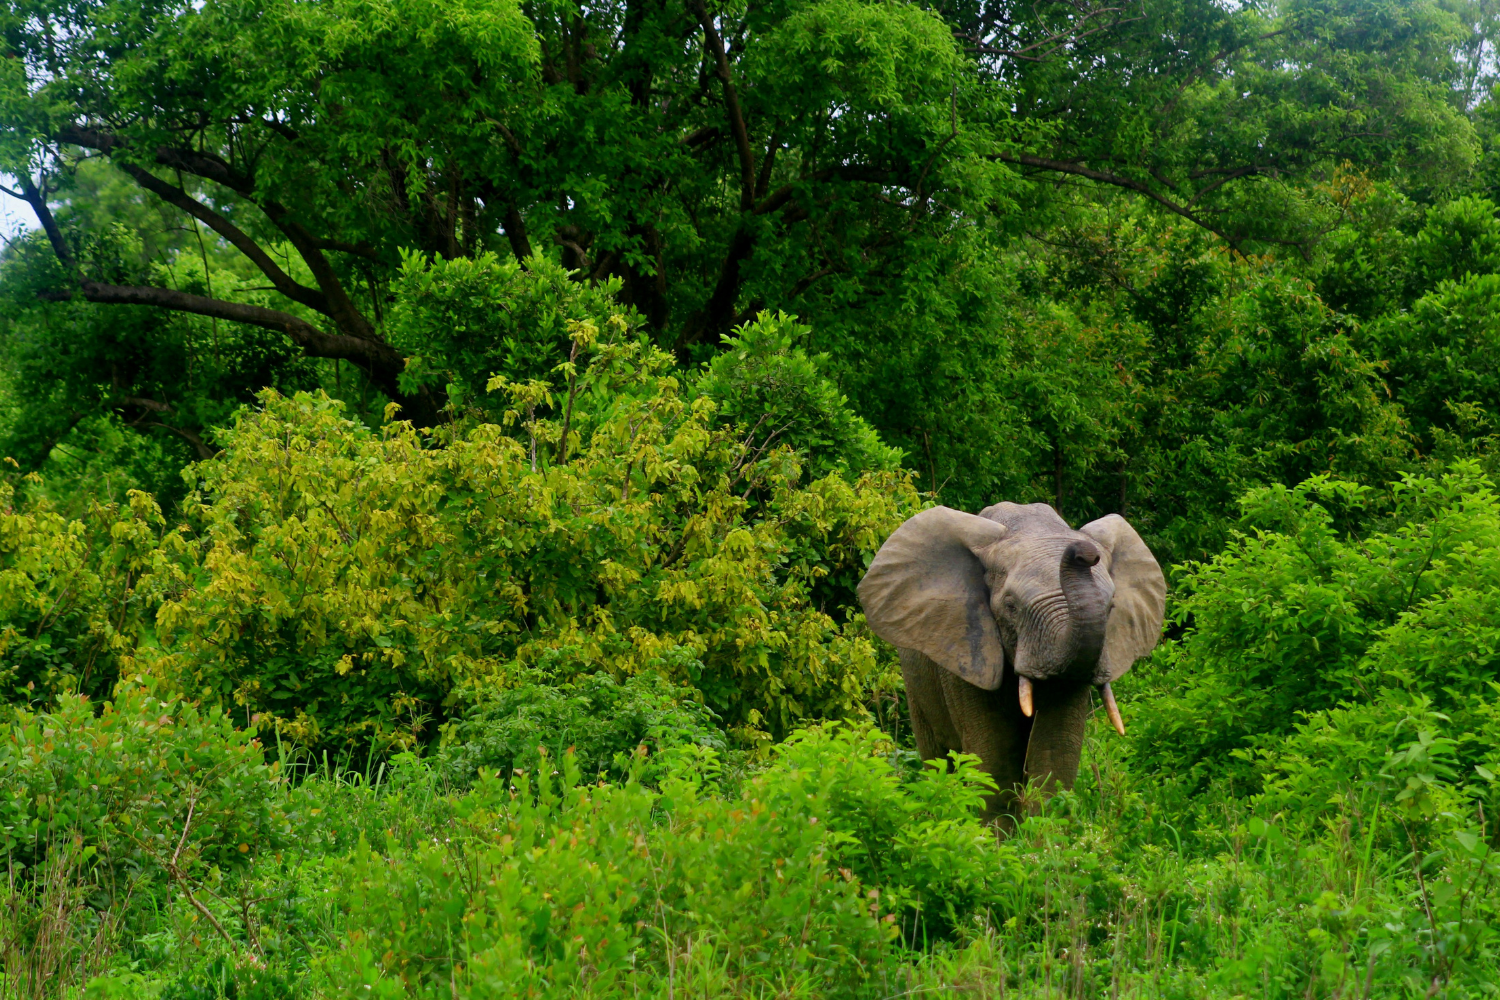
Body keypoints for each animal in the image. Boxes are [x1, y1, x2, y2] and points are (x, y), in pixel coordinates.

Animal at [858, 502, 1165, 821]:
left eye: (1111, 607)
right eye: (1011, 607)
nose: (1084, 553)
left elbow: (1055, 752)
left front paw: (1044, 834)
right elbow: (995, 756)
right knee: (938, 758)